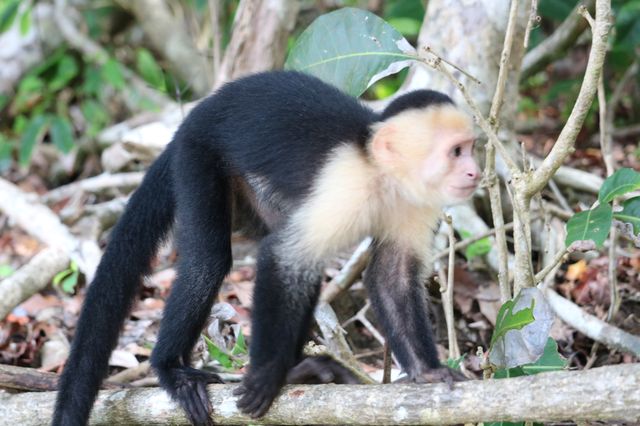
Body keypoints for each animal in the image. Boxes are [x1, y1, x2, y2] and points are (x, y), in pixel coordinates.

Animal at [52, 70, 478, 426]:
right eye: (456, 152)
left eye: (469, 147)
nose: (475, 171)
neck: (383, 173)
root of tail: (198, 112)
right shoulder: (347, 182)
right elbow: (281, 255)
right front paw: (266, 376)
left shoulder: (416, 203)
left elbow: (392, 276)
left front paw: (426, 371)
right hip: (198, 154)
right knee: (209, 262)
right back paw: (173, 369)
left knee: (304, 270)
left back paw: (303, 369)